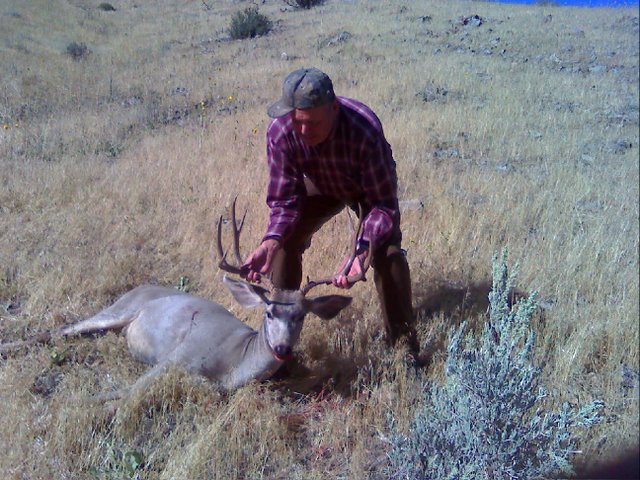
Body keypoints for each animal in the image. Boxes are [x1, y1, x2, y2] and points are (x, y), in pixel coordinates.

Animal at [0, 200, 369, 399]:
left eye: (301, 316)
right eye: (268, 313)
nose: (282, 348)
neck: (234, 365)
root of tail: (140, 286)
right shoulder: (177, 356)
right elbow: (128, 391)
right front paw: (93, 401)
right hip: (120, 307)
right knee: (64, 329)